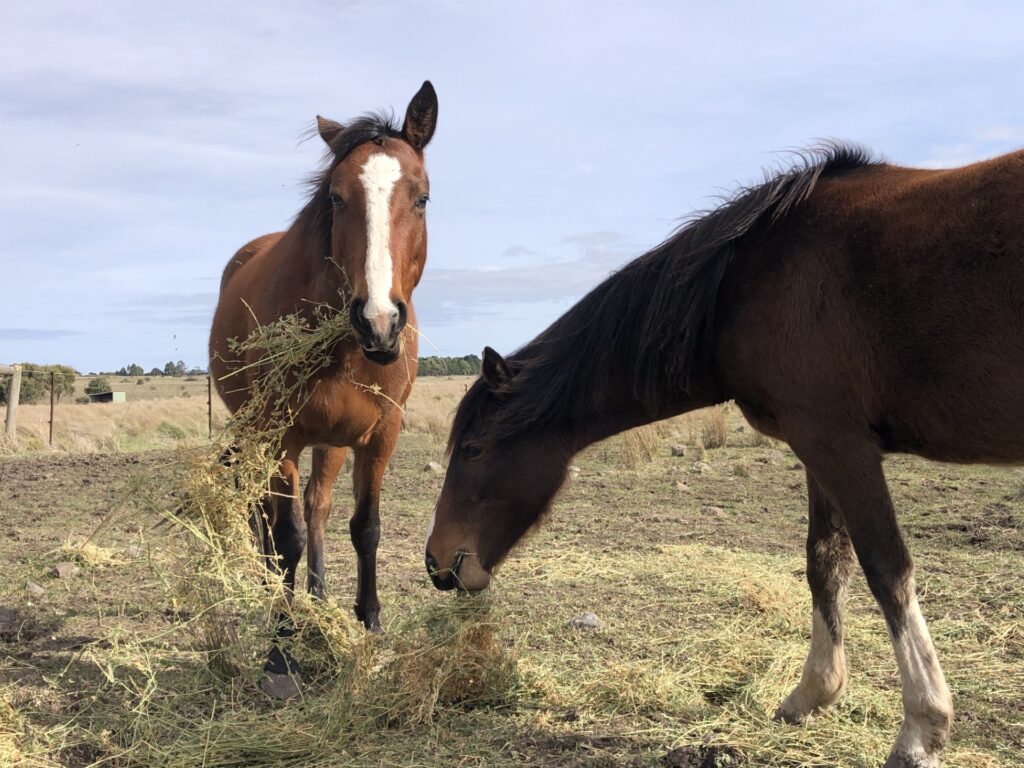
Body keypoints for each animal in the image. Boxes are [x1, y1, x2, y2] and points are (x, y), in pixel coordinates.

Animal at [209, 81, 438, 696]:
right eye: (336, 198)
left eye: (422, 197)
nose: (379, 321)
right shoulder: (280, 435)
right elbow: (284, 536)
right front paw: (280, 651)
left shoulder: (381, 434)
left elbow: (365, 528)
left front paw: (369, 626)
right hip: (262, 436)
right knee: (271, 520)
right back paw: (279, 598)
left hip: (332, 442)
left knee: (317, 508)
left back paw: (315, 596)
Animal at [423, 145, 1024, 768]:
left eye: (472, 448)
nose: (437, 562)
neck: (745, 283)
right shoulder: (819, 450)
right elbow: (824, 564)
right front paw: (812, 693)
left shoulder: (840, 446)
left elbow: (887, 571)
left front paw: (921, 730)